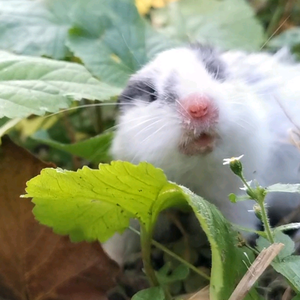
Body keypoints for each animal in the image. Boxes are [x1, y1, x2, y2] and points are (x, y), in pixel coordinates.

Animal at [102, 44, 300, 264]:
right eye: (152, 94)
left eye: (216, 73)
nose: (199, 108)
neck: (196, 169)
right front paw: (114, 256)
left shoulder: (233, 202)